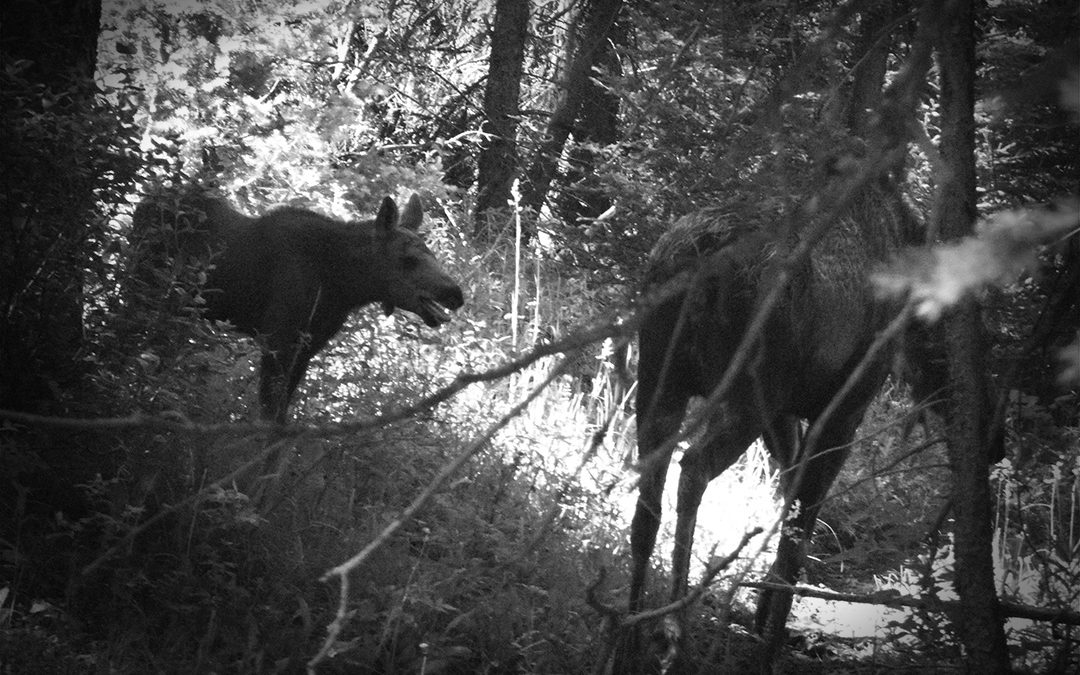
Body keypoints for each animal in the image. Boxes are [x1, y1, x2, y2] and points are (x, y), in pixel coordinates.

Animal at [130, 187, 464, 421]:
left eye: (433, 254)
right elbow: (269, 417)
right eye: (408, 259)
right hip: (145, 286)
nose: (456, 294)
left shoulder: (307, 346)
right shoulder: (278, 338)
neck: (342, 285)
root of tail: (142, 203)